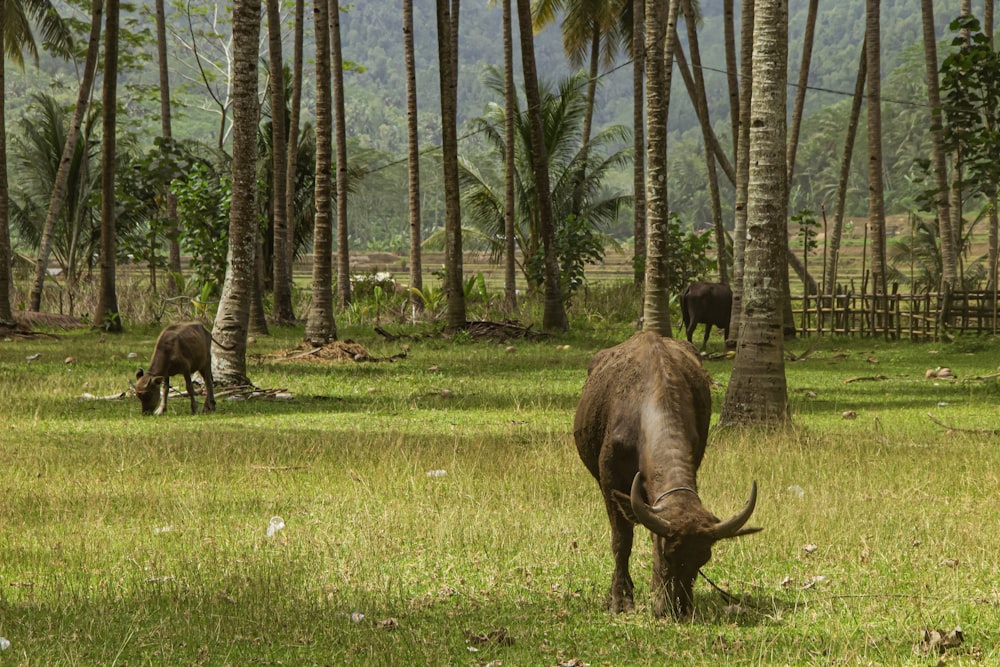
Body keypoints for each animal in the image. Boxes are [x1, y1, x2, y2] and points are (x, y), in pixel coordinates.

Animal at [576, 332, 760, 620]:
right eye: (669, 555)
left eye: (703, 559)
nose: (680, 609)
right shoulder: (609, 481)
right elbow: (622, 541)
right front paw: (620, 598)